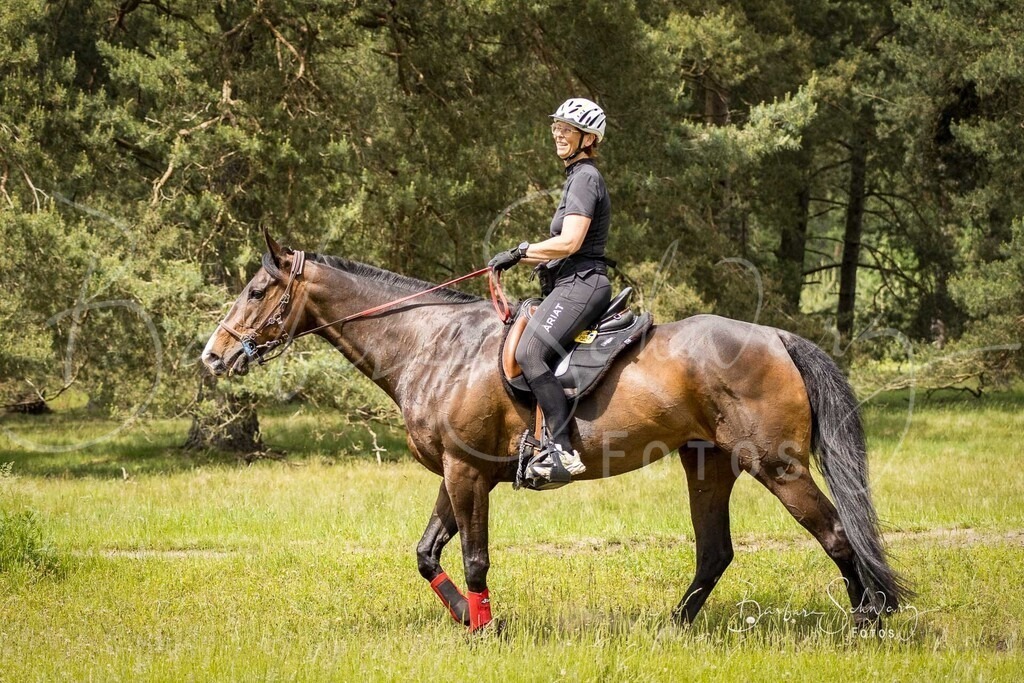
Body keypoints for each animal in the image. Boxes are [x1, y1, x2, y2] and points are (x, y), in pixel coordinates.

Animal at [201, 229, 910, 632]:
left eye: (258, 290)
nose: (212, 355)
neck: (433, 345)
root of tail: (776, 337)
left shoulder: (466, 473)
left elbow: (475, 557)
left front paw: (486, 630)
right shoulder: (461, 472)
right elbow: (429, 553)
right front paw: (469, 622)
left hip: (777, 465)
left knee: (836, 535)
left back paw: (867, 624)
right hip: (708, 464)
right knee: (715, 553)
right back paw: (671, 629)